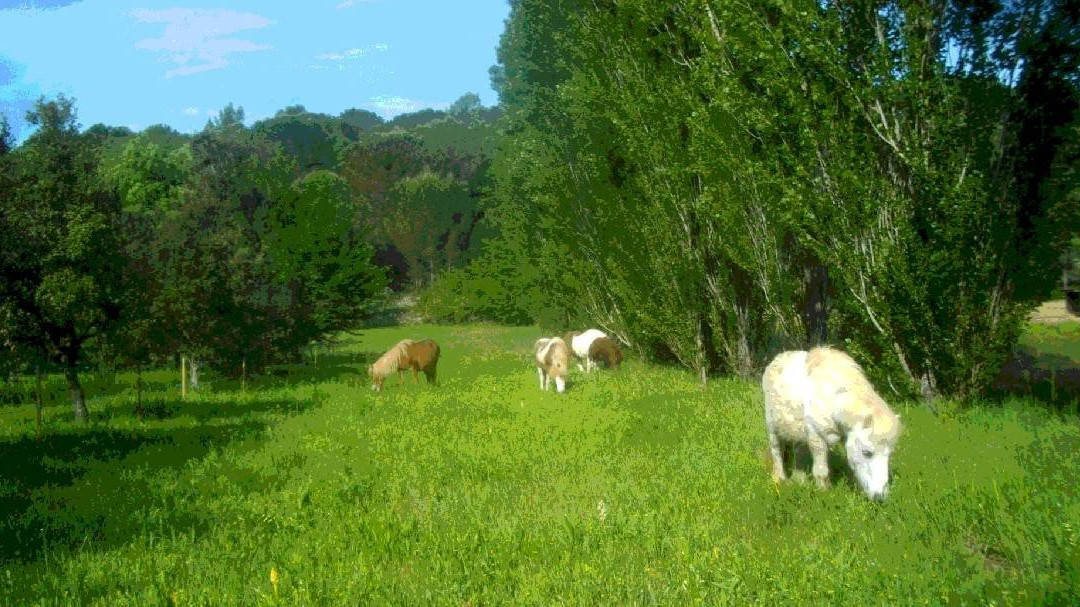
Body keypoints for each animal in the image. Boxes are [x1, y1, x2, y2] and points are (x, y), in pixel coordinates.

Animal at [760, 343, 902, 498]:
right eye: (867, 453)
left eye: (889, 455)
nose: (880, 497)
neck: (831, 397)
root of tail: (778, 358)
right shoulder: (817, 437)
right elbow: (821, 470)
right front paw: (824, 493)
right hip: (772, 427)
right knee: (777, 451)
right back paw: (779, 478)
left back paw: (800, 480)